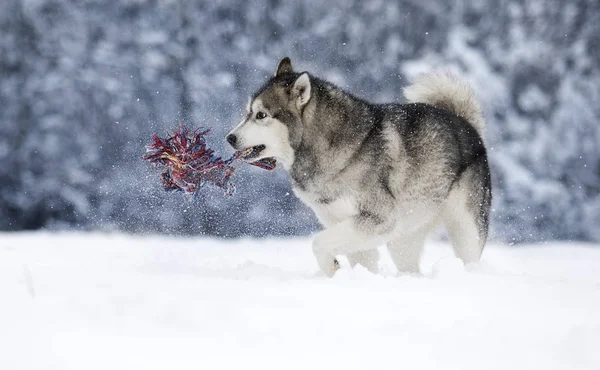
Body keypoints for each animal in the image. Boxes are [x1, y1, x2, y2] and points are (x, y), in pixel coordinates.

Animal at [227, 57, 490, 276]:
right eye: (248, 112)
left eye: (261, 115)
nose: (229, 138)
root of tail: (466, 123)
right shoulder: (341, 221)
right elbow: (359, 258)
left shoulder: (380, 218)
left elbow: (318, 242)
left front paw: (331, 267)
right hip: (403, 238)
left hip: (464, 228)